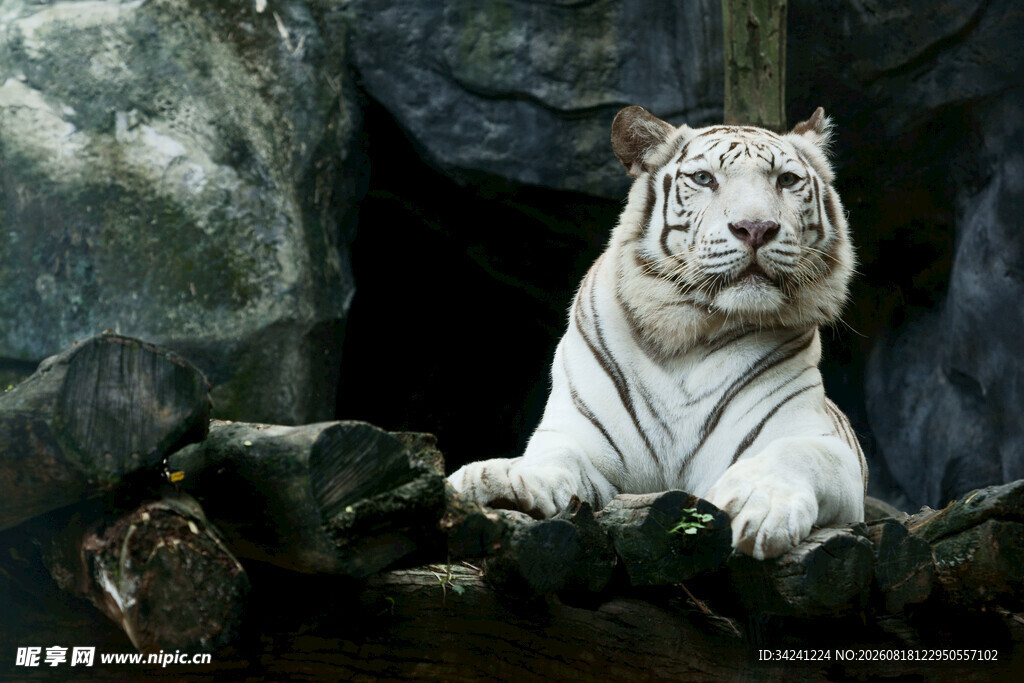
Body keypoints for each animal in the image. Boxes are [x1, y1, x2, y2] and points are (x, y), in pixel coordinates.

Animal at [448, 106, 867, 560]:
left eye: (786, 180)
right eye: (703, 178)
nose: (755, 227)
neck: (688, 337)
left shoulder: (815, 439)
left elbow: (793, 454)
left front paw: (761, 504)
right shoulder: (581, 438)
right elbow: (553, 458)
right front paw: (501, 481)